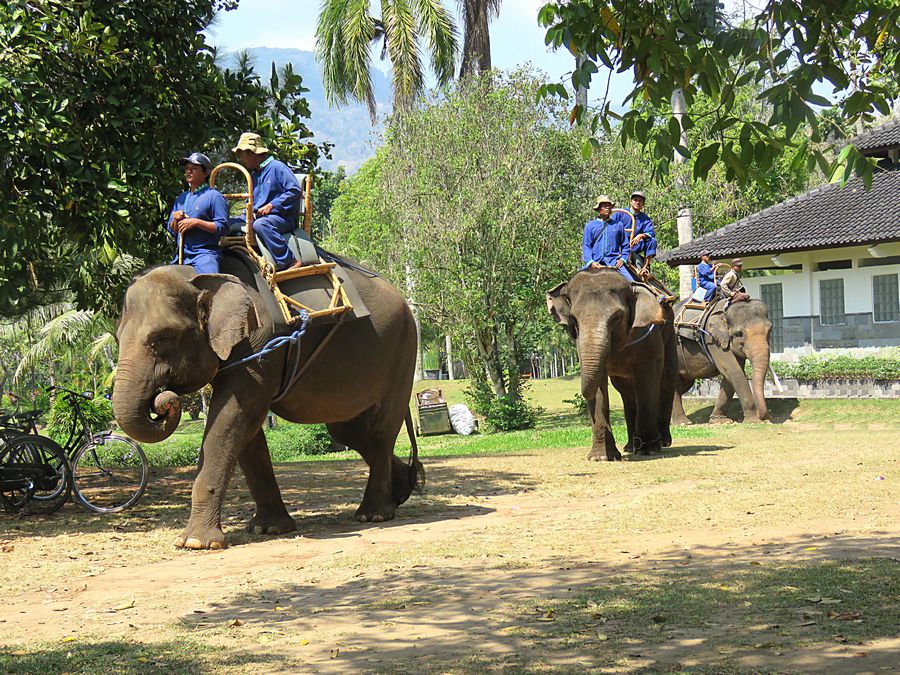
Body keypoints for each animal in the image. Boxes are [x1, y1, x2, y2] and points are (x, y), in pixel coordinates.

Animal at [113, 256, 422, 552]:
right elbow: (246, 432)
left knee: (380, 430)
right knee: (347, 431)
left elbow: (232, 419)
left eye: (162, 337)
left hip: (403, 351)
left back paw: (373, 514)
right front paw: (269, 529)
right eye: (116, 338)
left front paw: (195, 542)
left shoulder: (260, 346)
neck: (203, 276)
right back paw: (402, 489)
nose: (163, 399)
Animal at [544, 266, 680, 462]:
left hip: (669, 332)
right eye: (574, 319)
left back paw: (662, 442)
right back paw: (631, 446)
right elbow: (599, 383)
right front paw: (601, 457)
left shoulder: (648, 334)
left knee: (667, 378)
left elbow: (648, 376)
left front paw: (649, 450)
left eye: (617, 317)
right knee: (627, 393)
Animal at [672, 298, 768, 426]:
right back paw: (683, 423)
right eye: (739, 334)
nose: (764, 417)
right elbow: (733, 370)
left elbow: (732, 373)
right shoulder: (712, 339)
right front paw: (753, 421)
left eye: (770, 330)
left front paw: (721, 421)